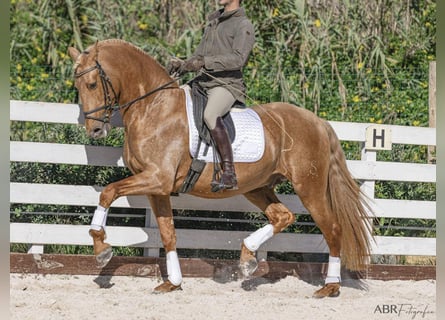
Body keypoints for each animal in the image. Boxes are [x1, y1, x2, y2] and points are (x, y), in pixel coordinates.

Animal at [67, 39, 372, 298]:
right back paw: (247, 258)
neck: (153, 108)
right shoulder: (158, 188)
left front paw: (101, 247)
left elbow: (108, 192)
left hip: (309, 187)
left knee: (332, 228)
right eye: (77, 86)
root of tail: (318, 122)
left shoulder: (157, 178)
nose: (95, 130)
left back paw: (330, 287)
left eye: (92, 84)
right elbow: (167, 233)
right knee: (283, 216)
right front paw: (172, 282)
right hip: (258, 187)